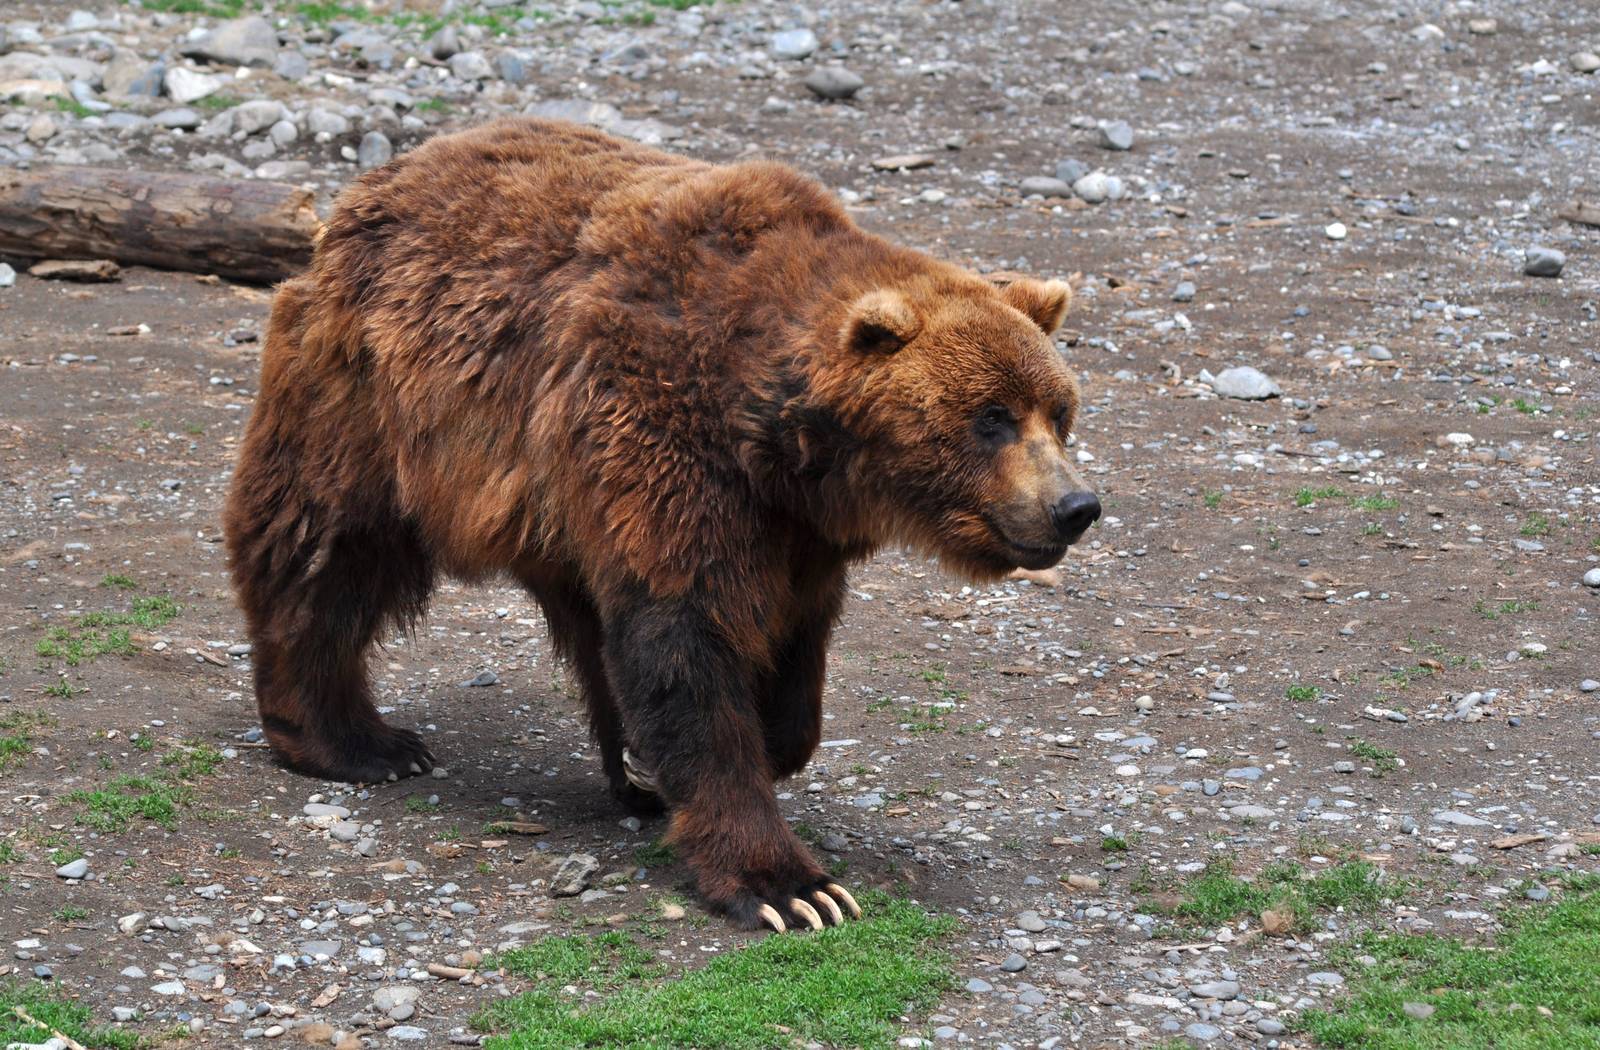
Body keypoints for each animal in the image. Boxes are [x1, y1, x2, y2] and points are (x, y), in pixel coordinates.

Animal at [223, 118, 1100, 932]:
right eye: (990, 418)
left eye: (1059, 412)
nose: (1076, 506)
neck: (774, 436)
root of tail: (374, 185)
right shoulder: (660, 435)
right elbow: (686, 644)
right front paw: (791, 887)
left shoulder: (793, 531)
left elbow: (790, 649)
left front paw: (737, 749)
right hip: (372, 400)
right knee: (327, 548)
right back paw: (357, 742)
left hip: (548, 491)